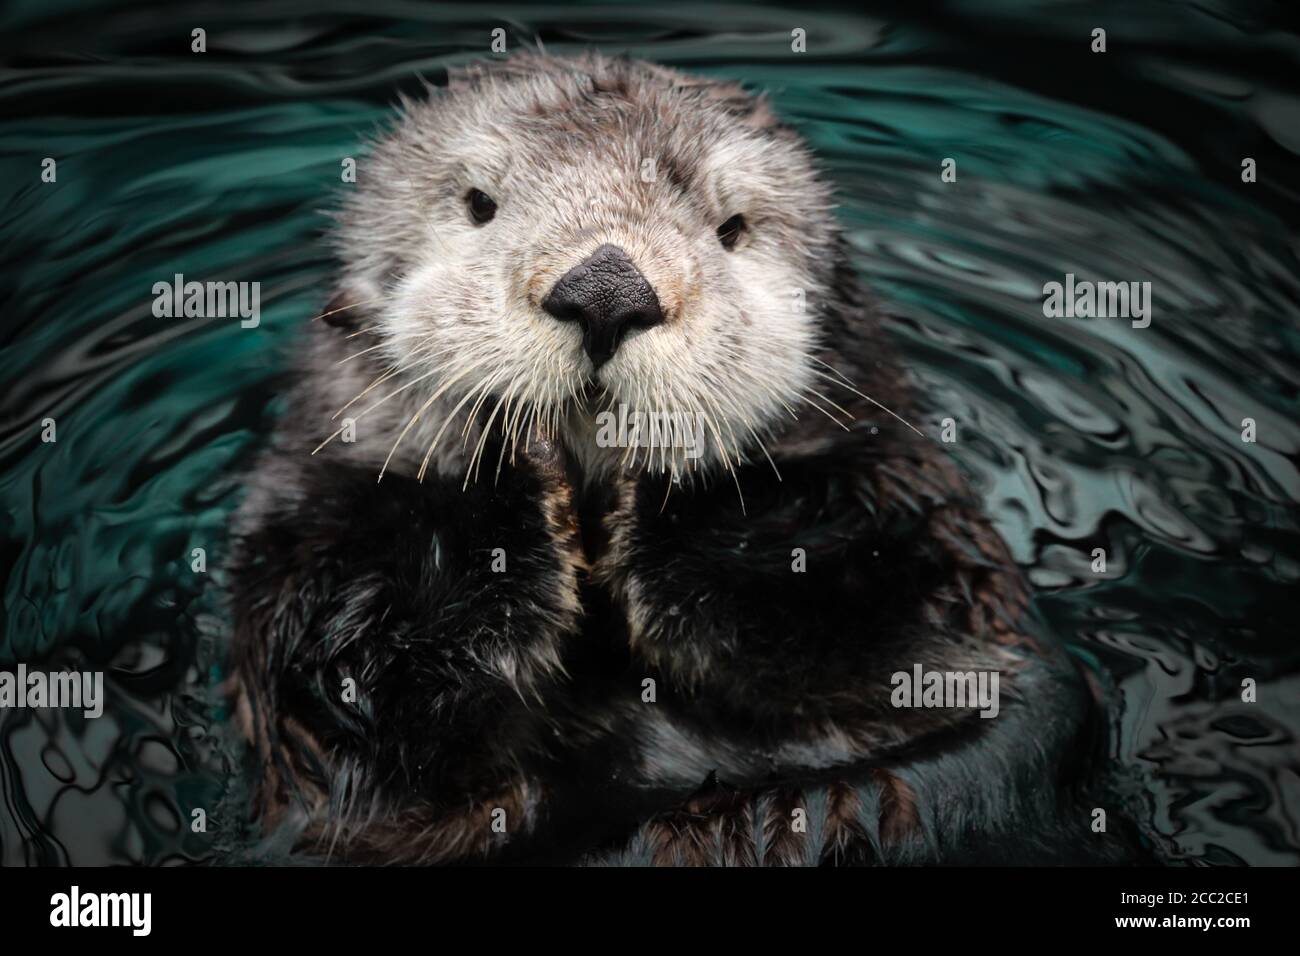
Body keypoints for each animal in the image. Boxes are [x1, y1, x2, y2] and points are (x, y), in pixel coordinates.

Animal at [228, 50, 1144, 868]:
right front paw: (513, 457)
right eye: (479, 204)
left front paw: (668, 469)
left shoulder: (924, 534)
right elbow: (362, 698)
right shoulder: (306, 557)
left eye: (730, 228)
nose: (606, 291)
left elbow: (888, 618)